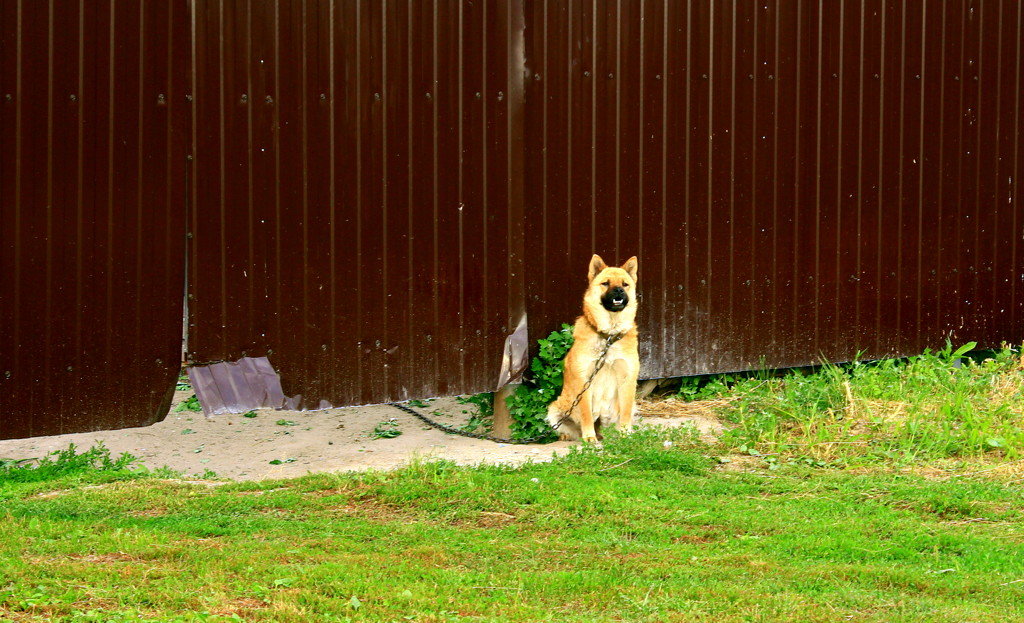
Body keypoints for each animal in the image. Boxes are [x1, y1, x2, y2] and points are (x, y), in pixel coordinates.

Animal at [544, 253, 638, 442]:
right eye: (606, 283)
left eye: (625, 284)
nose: (619, 291)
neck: (609, 334)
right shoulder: (584, 380)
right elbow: (586, 413)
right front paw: (589, 437)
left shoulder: (627, 379)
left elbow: (625, 412)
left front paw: (625, 434)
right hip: (556, 408)